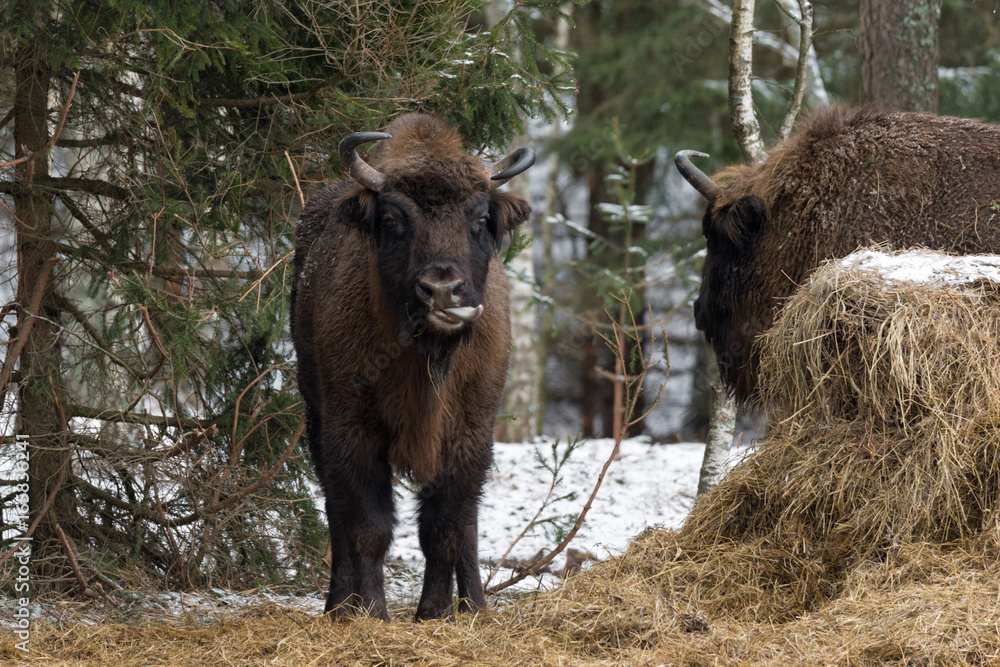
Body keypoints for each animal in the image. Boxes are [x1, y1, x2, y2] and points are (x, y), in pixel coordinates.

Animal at [290, 113, 534, 620]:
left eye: (481, 219)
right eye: (392, 219)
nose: (442, 290)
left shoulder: (470, 435)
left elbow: (445, 528)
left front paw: (434, 612)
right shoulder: (350, 430)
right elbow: (368, 526)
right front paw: (372, 612)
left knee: (467, 524)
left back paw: (474, 605)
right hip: (315, 416)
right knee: (336, 513)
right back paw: (338, 605)